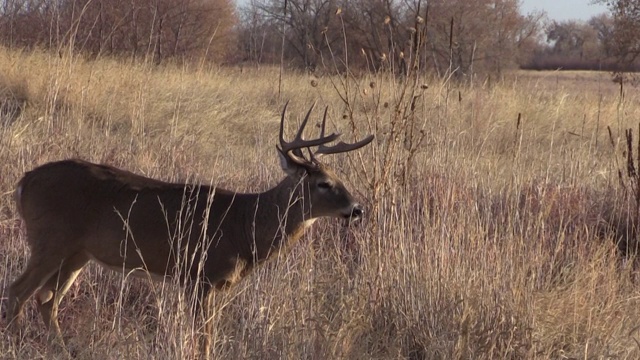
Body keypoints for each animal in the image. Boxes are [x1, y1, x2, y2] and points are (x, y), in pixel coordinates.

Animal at [6, 101, 376, 344]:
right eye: (323, 183)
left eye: (339, 177)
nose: (357, 209)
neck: (244, 226)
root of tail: (24, 181)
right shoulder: (199, 276)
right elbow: (203, 338)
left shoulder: (213, 284)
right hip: (49, 239)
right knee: (18, 291)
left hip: (77, 254)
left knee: (47, 301)